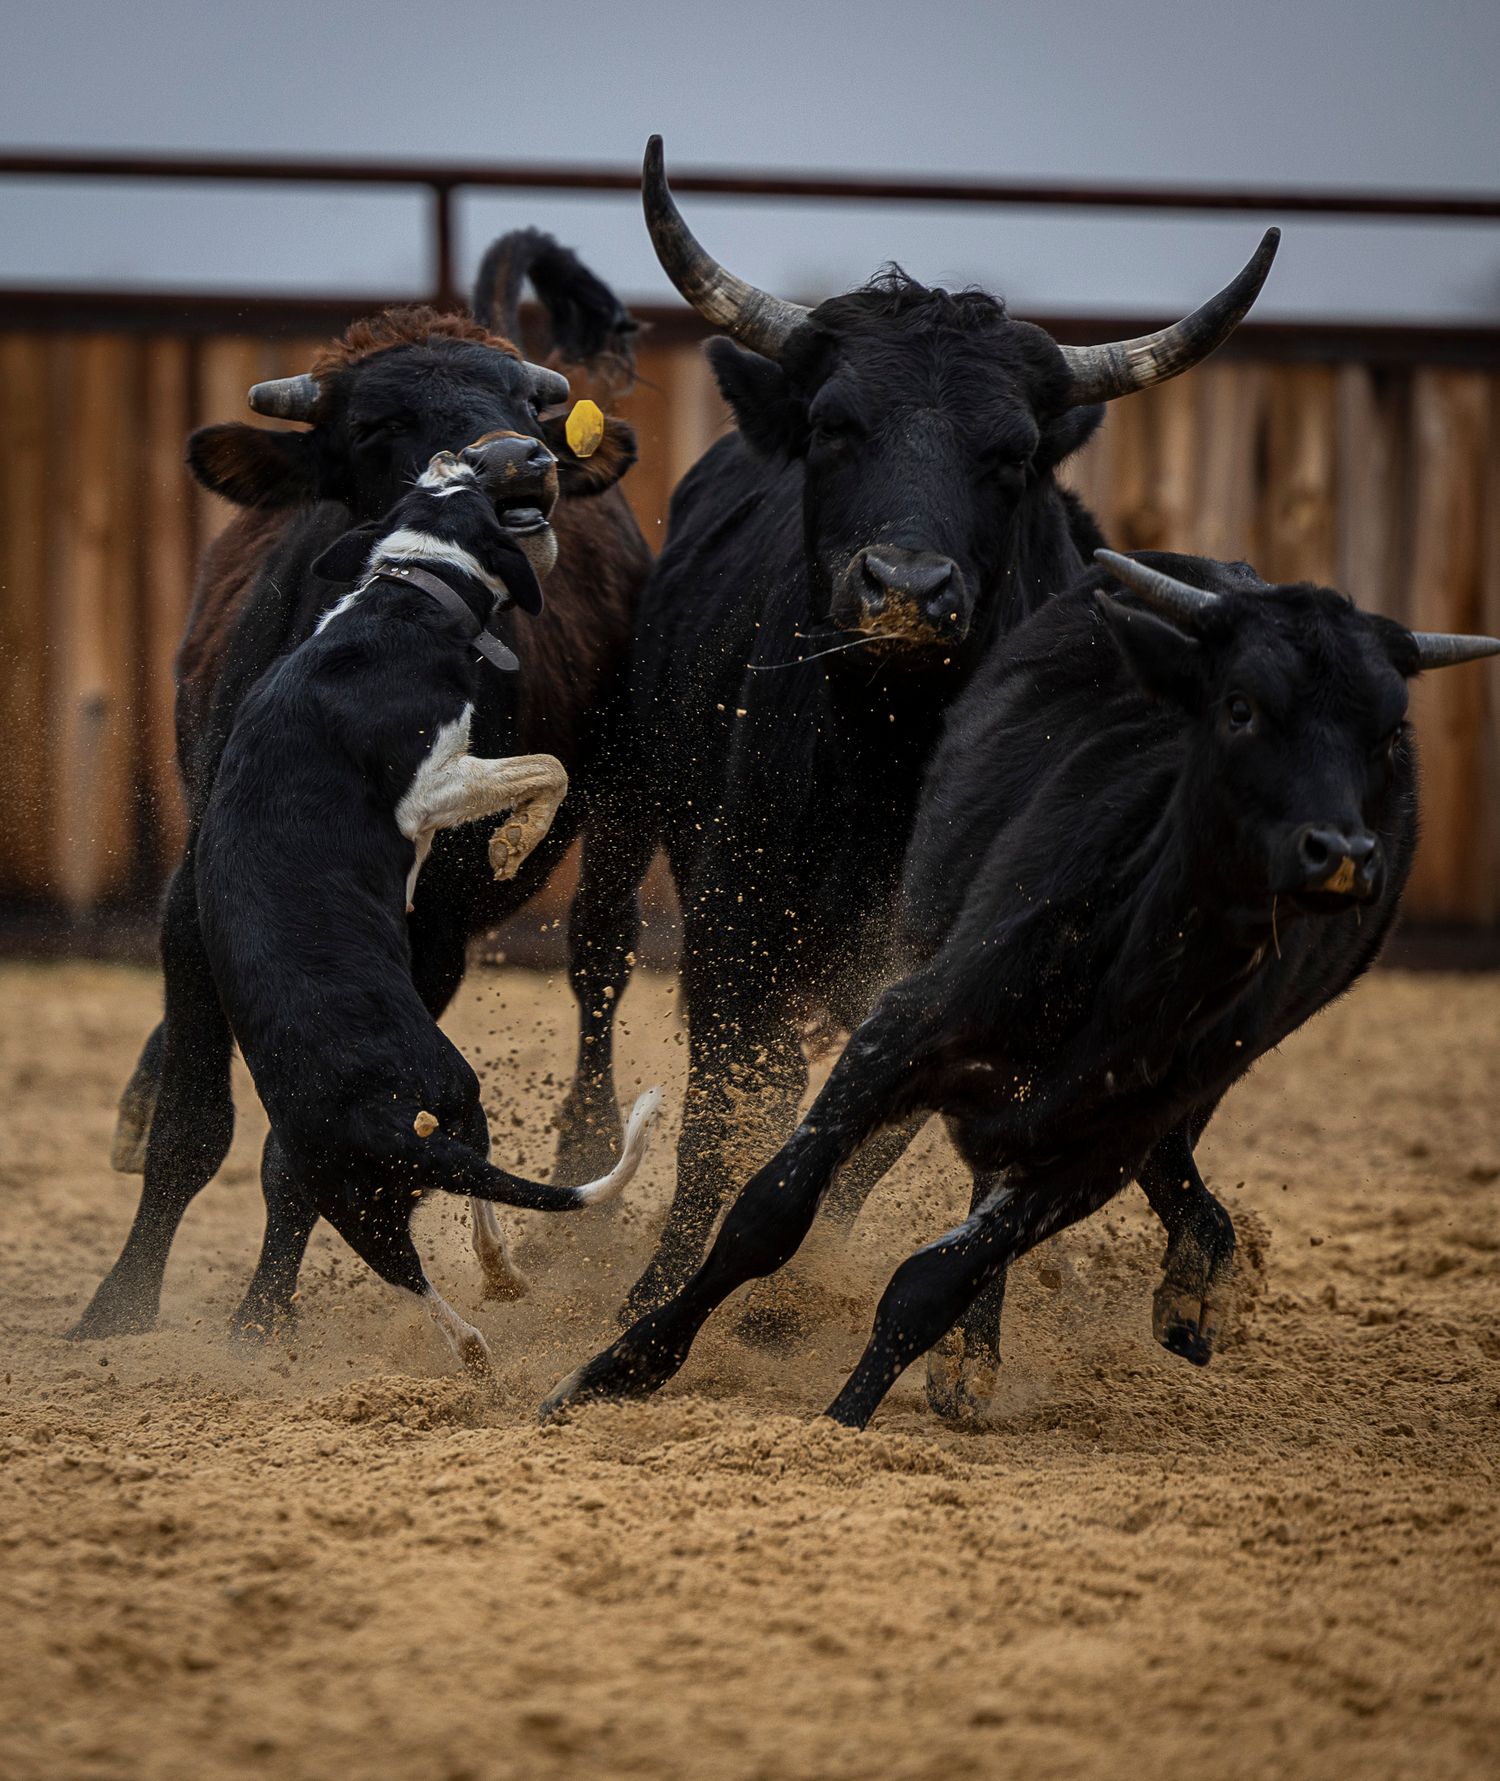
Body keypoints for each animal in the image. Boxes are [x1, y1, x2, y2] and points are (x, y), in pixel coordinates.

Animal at [190, 437, 661, 1373]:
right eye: (470, 483)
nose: (468, 449)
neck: (405, 593)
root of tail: (388, 1126)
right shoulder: (431, 782)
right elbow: (546, 767)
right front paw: (513, 842)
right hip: (457, 1090)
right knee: (471, 1210)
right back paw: (496, 1306)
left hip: (357, 1196)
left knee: (412, 1266)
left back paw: (481, 1332)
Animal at [543, 550, 1500, 1427]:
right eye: (1240, 705)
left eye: (1387, 732)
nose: (1342, 853)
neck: (1130, 964)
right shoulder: (901, 1032)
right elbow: (766, 1215)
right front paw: (614, 1369)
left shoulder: (1102, 1143)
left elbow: (932, 1284)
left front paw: (844, 1421)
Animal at [581, 137, 1281, 1340]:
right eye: (834, 426)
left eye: (1010, 455)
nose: (907, 588)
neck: (886, 761)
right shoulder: (730, 921)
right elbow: (729, 1107)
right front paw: (658, 1291)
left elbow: (861, 1143)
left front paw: (784, 1307)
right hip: (626, 811)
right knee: (605, 963)